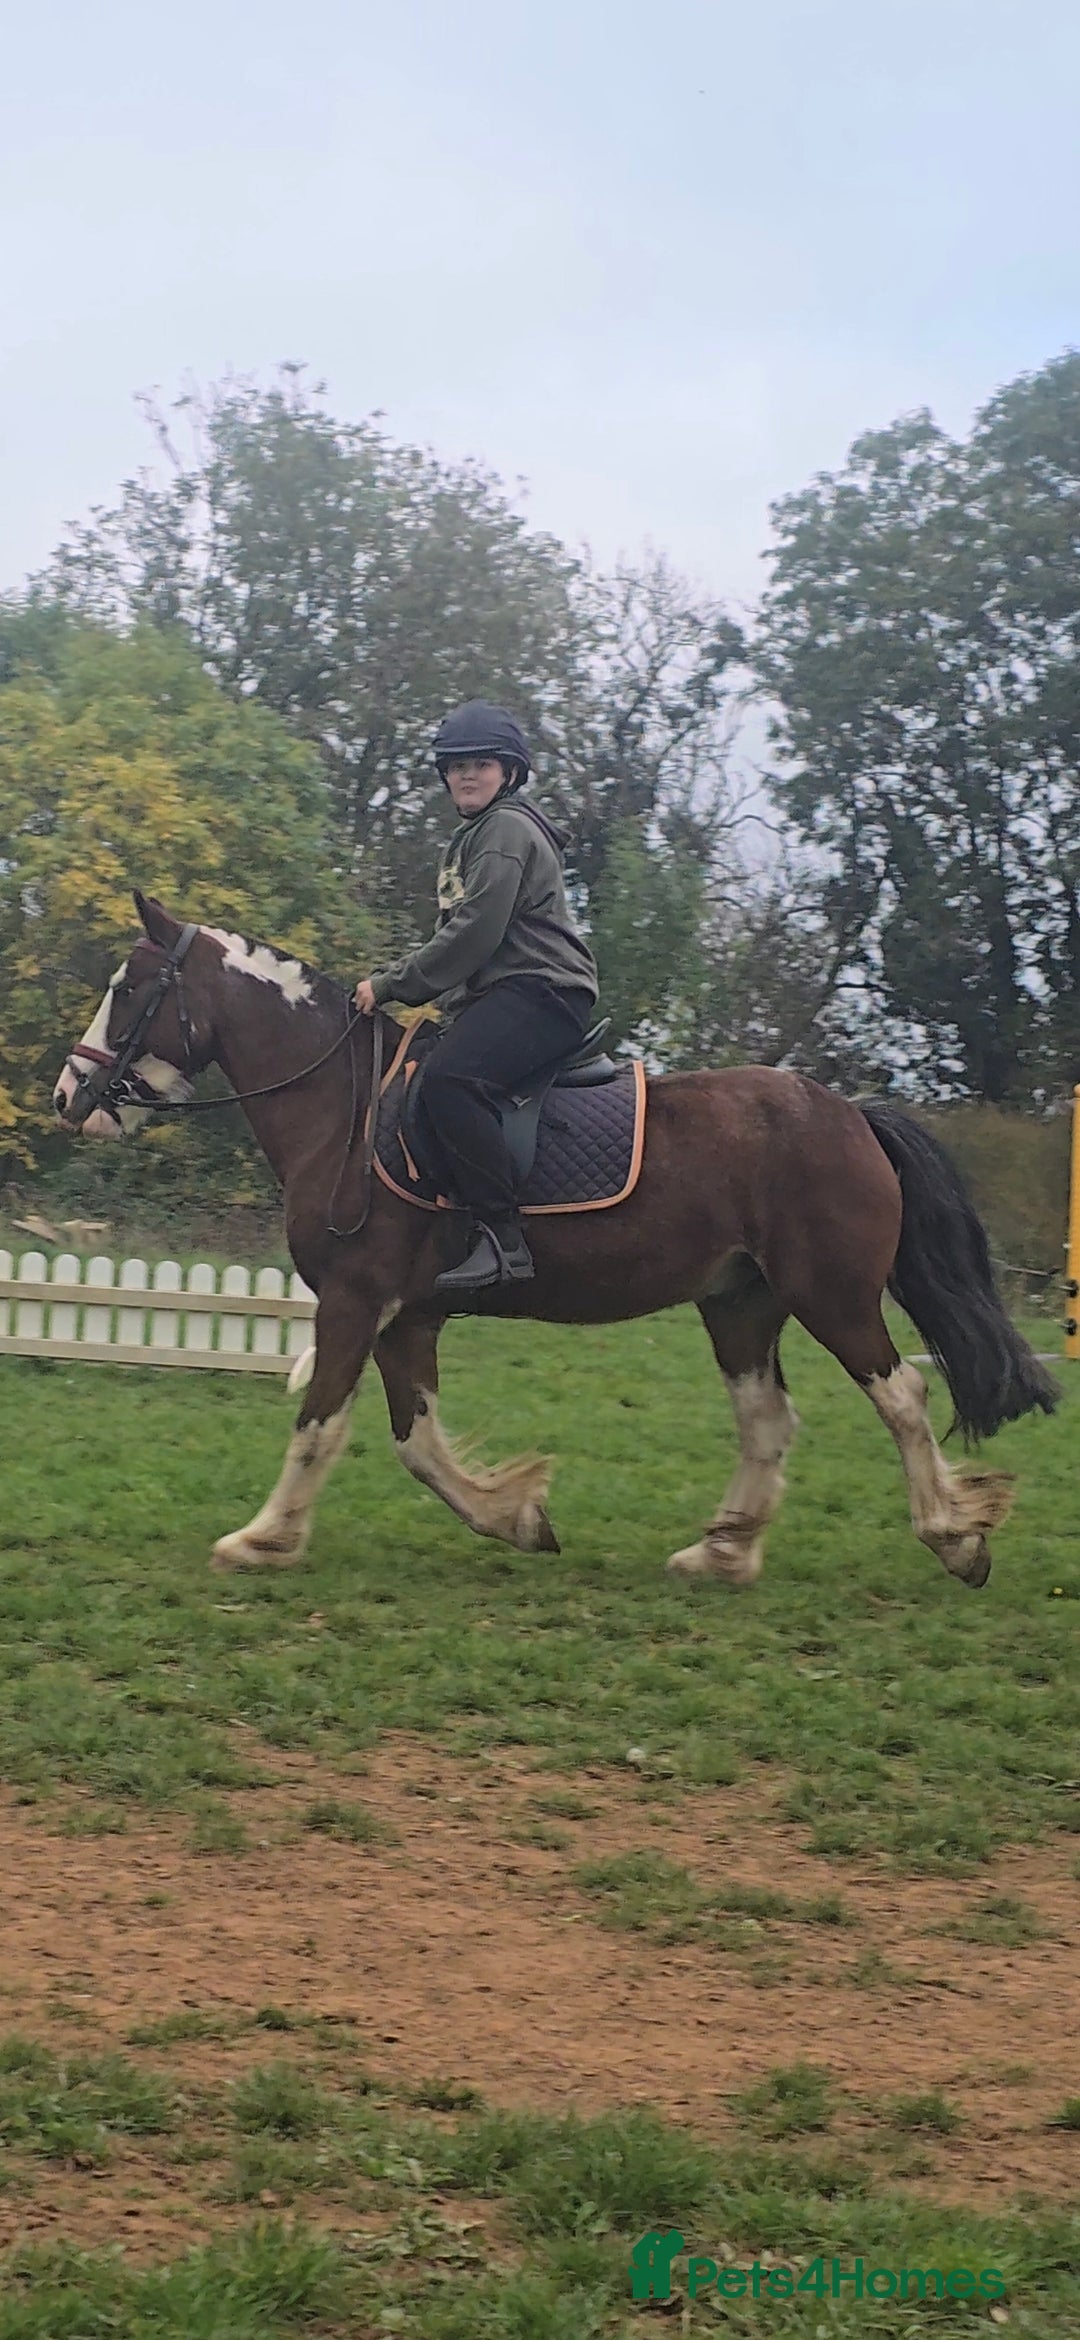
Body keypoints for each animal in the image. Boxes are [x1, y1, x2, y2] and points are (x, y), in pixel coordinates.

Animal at [53, 892, 1057, 1588]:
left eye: (129, 989)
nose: (69, 1096)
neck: (343, 1110)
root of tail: (850, 1114)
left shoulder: (354, 1302)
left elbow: (319, 1426)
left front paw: (263, 1539)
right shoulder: (406, 1317)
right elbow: (417, 1444)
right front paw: (516, 1517)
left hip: (833, 1297)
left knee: (903, 1397)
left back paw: (953, 1539)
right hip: (740, 1303)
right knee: (768, 1420)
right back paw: (723, 1554)